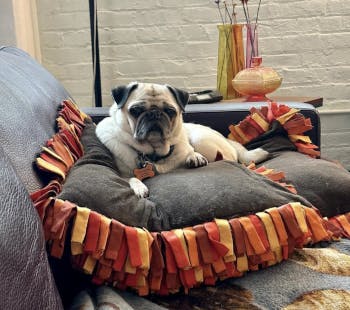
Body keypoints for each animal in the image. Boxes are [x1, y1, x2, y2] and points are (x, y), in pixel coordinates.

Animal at [95, 83, 268, 196]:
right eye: (135, 110)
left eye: (170, 111)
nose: (154, 113)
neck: (155, 154)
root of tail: (227, 140)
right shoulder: (122, 174)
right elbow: (131, 177)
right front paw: (139, 187)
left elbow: (188, 152)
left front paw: (194, 157)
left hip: (200, 140)